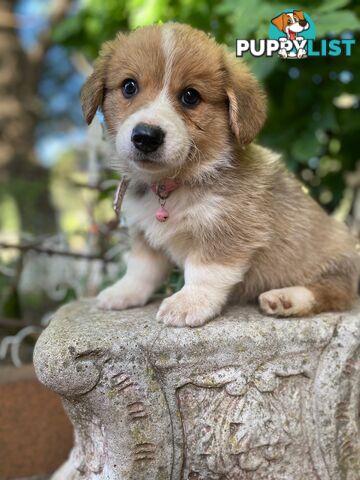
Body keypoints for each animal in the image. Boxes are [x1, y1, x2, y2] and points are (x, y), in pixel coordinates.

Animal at [81, 24, 360, 328]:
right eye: (129, 86)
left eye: (190, 96)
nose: (146, 137)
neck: (172, 185)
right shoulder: (144, 234)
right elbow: (141, 268)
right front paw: (123, 292)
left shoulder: (227, 231)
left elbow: (204, 272)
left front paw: (188, 303)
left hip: (340, 262)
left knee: (333, 292)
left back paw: (286, 298)